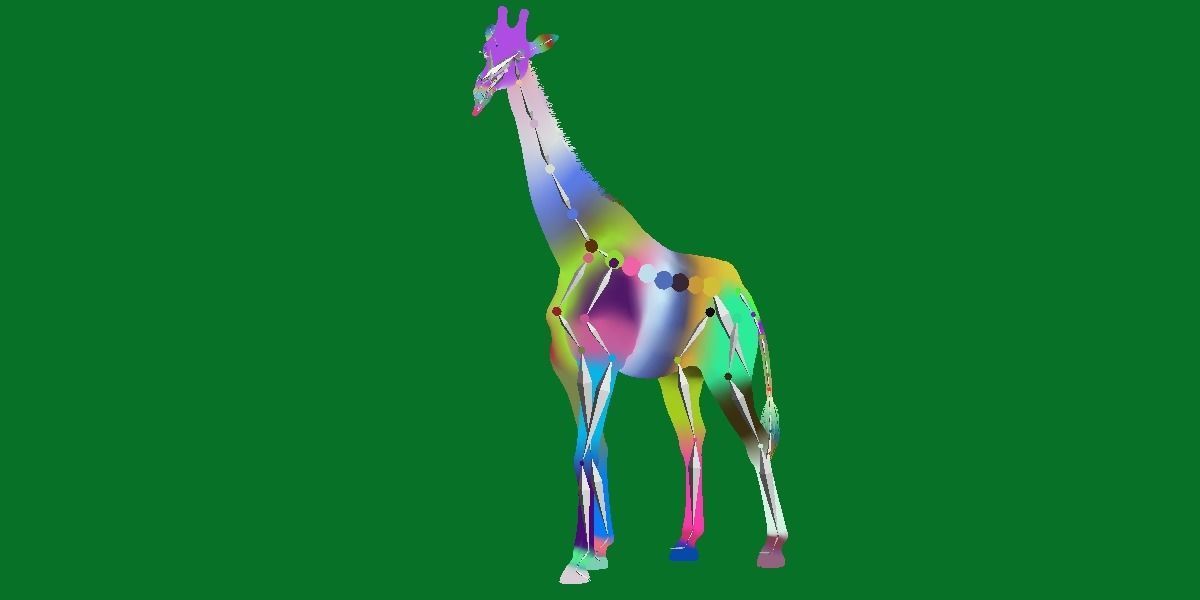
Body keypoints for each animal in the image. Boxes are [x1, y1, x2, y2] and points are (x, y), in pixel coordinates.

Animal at [471, 7, 790, 584]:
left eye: (518, 56)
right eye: (486, 53)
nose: (480, 90)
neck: (574, 241)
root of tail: (749, 300)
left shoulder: (603, 358)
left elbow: (587, 449)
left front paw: (579, 559)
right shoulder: (571, 361)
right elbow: (591, 449)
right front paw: (597, 548)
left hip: (729, 372)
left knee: (757, 442)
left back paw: (772, 545)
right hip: (682, 376)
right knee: (693, 438)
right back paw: (686, 542)